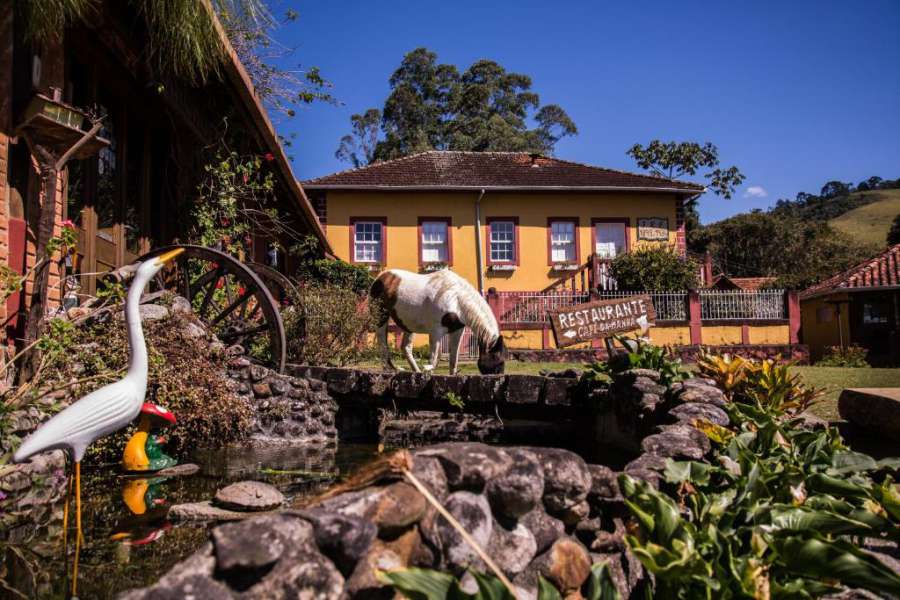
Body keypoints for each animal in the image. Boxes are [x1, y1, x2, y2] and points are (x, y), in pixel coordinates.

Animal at [368, 268, 506, 372]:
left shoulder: (457, 331)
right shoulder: (436, 332)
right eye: (498, 362)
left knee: (406, 347)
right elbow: (433, 359)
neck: (456, 298)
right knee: (382, 342)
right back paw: (389, 369)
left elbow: (453, 361)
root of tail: (381, 277)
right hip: (380, 317)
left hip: (408, 325)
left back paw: (416, 370)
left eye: (502, 362)